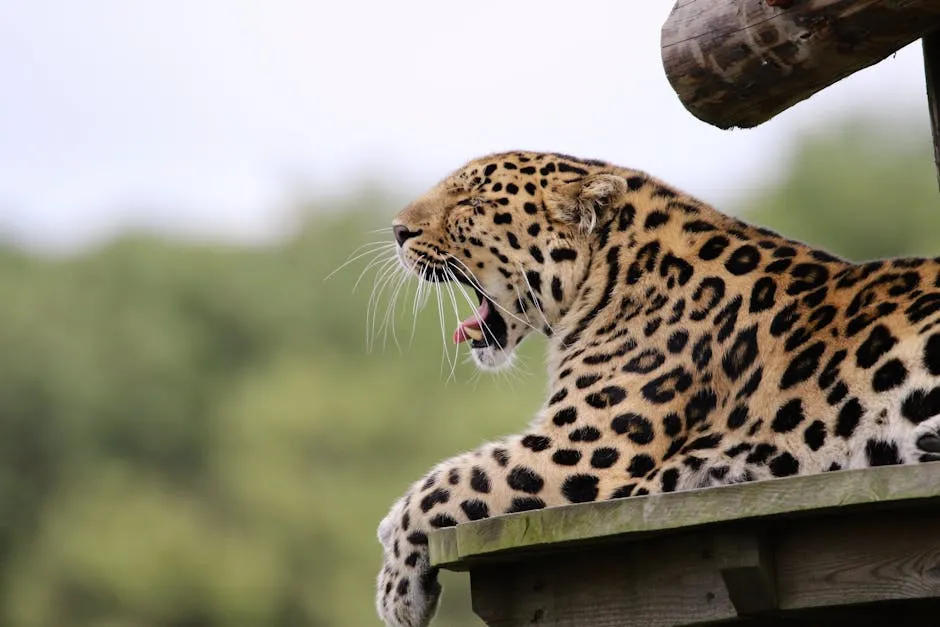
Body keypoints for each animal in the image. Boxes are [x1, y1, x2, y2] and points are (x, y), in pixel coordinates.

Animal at [374, 150, 940, 624]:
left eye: (472, 203)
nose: (398, 230)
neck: (609, 274)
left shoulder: (581, 450)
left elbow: (448, 481)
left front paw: (395, 588)